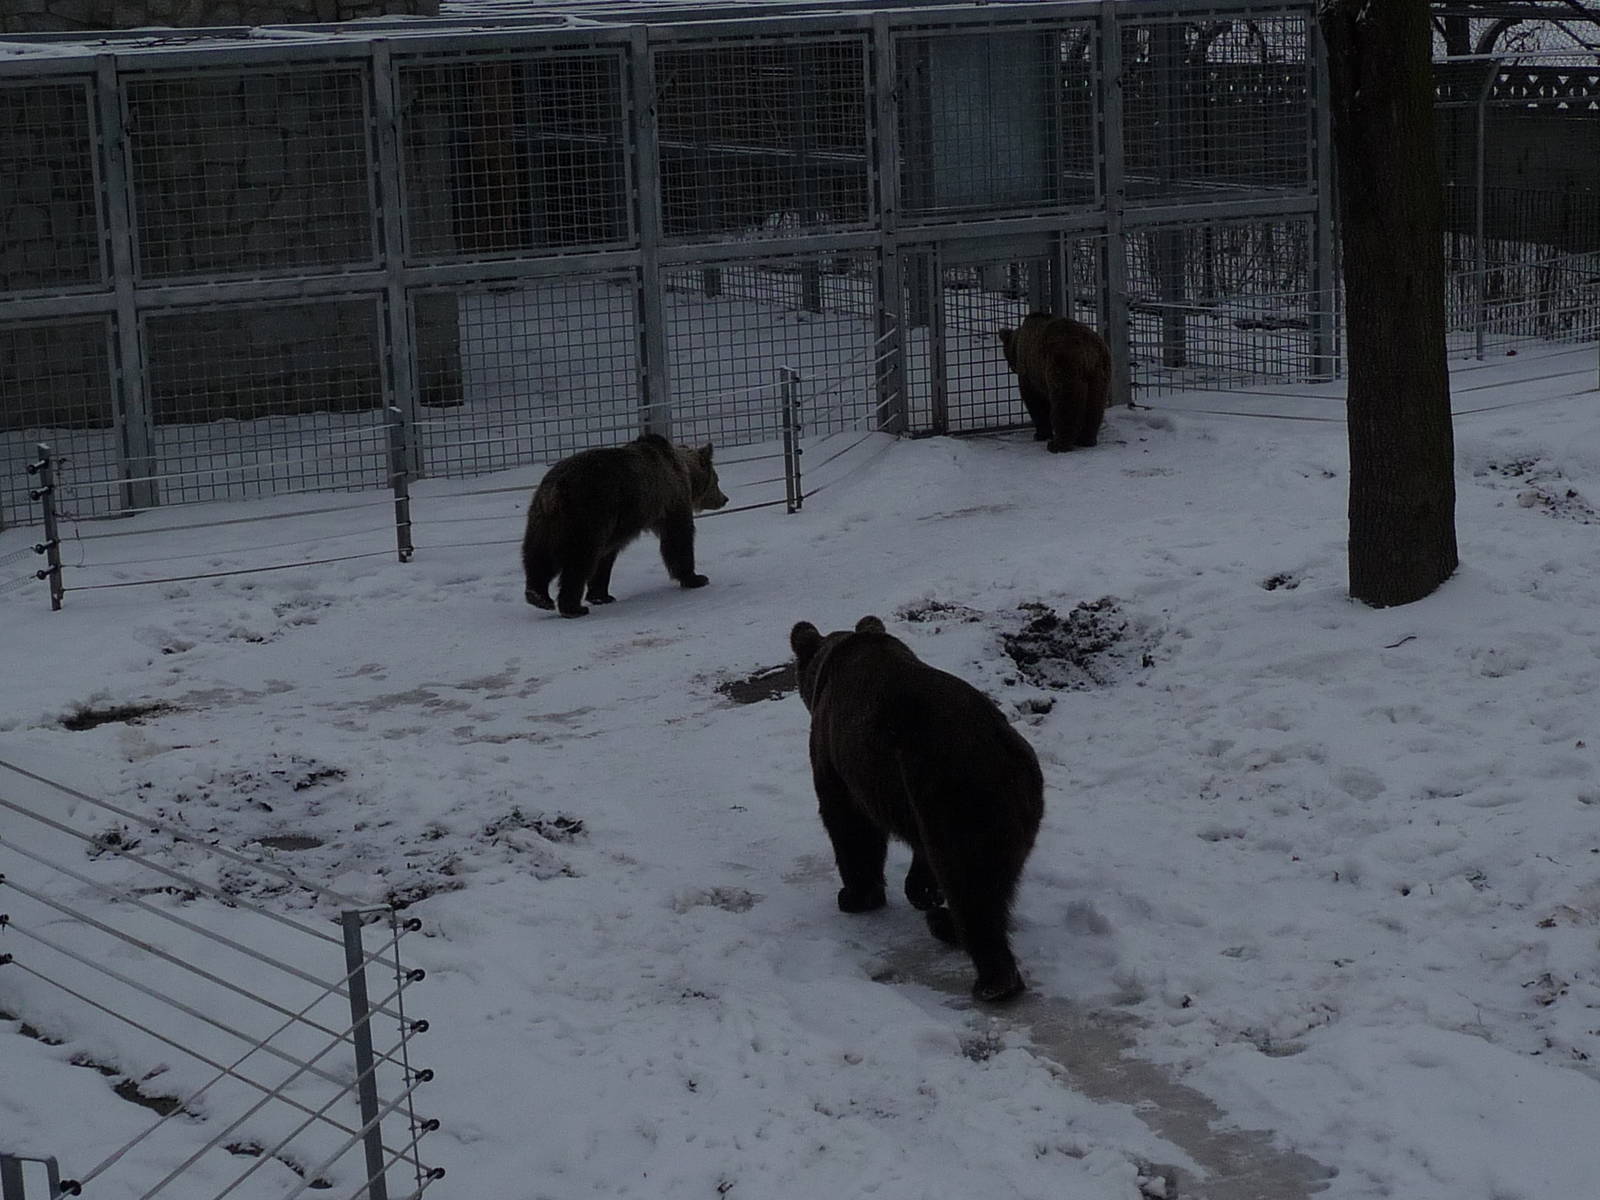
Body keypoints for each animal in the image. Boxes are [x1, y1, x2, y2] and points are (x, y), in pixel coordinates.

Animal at [522, 433, 728, 618]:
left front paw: (601, 595)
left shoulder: (616, 526)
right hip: (586, 513)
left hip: (543, 521)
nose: (724, 498)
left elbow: (606, 556)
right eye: (717, 480)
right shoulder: (671, 501)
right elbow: (678, 537)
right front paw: (696, 578)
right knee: (579, 560)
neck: (684, 471)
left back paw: (538, 596)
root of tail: (555, 490)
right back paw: (573, 608)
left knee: (538, 556)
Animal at [789, 615, 1045, 1002]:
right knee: (993, 883)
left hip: (957, 799)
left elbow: (850, 825)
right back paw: (945, 922)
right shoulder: (908, 797)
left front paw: (855, 895)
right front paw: (922, 890)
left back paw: (989, 979)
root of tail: (1003, 756)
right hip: (1009, 813)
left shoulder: (838, 754)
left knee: (971, 888)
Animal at [997, 312, 1112, 453]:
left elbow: (1035, 401)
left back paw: (1057, 444)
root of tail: (1088, 349)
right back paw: (1087, 440)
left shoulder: (1031, 371)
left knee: (1065, 404)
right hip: (1099, 373)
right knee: (1095, 404)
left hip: (1064, 365)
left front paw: (1040, 434)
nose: (1011, 368)